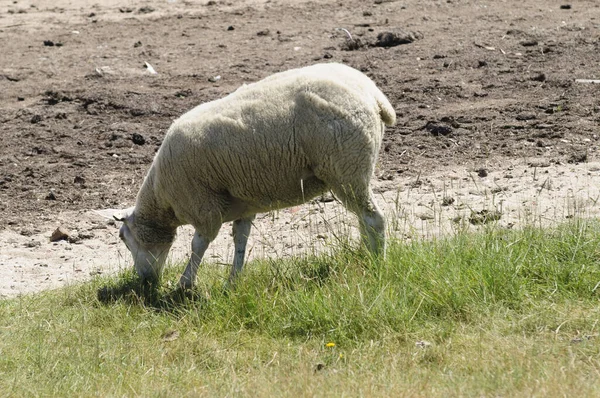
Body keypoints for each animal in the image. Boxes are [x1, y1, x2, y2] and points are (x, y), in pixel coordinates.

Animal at [104, 62, 394, 290]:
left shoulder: (204, 208)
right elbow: (240, 241)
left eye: (122, 238)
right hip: (350, 171)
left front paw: (185, 283)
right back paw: (365, 256)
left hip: (346, 167)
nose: (144, 282)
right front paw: (233, 280)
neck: (162, 199)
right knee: (363, 218)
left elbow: (198, 245)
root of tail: (373, 95)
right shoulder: (243, 206)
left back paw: (377, 263)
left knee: (374, 219)